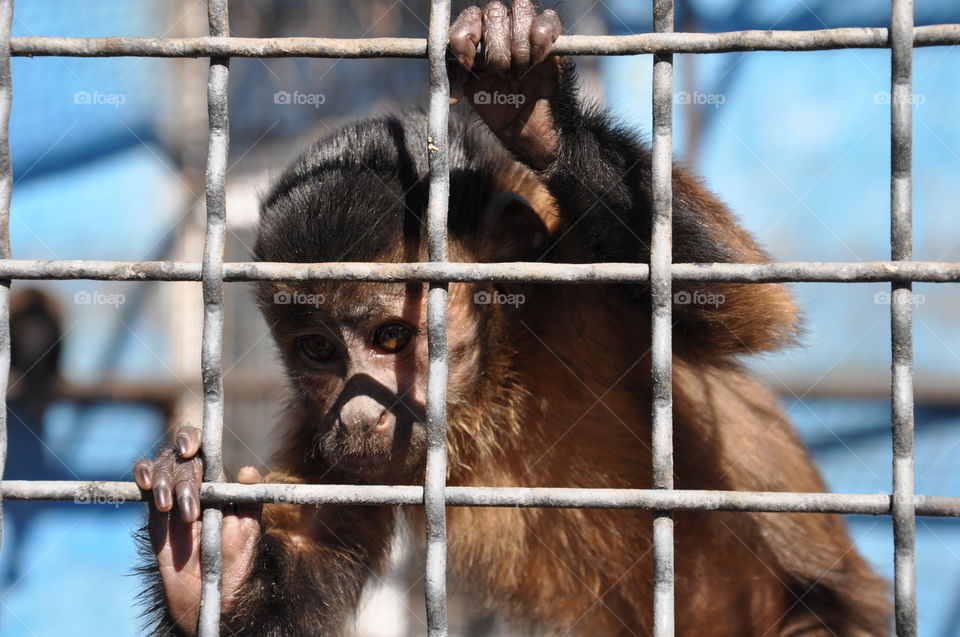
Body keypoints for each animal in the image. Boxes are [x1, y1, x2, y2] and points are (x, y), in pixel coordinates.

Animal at [133, 2, 892, 635]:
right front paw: (204, 557)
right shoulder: (316, 422)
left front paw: (538, 115)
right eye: (318, 350)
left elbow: (744, 308)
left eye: (391, 338)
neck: (495, 379)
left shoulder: (571, 268)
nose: (356, 412)